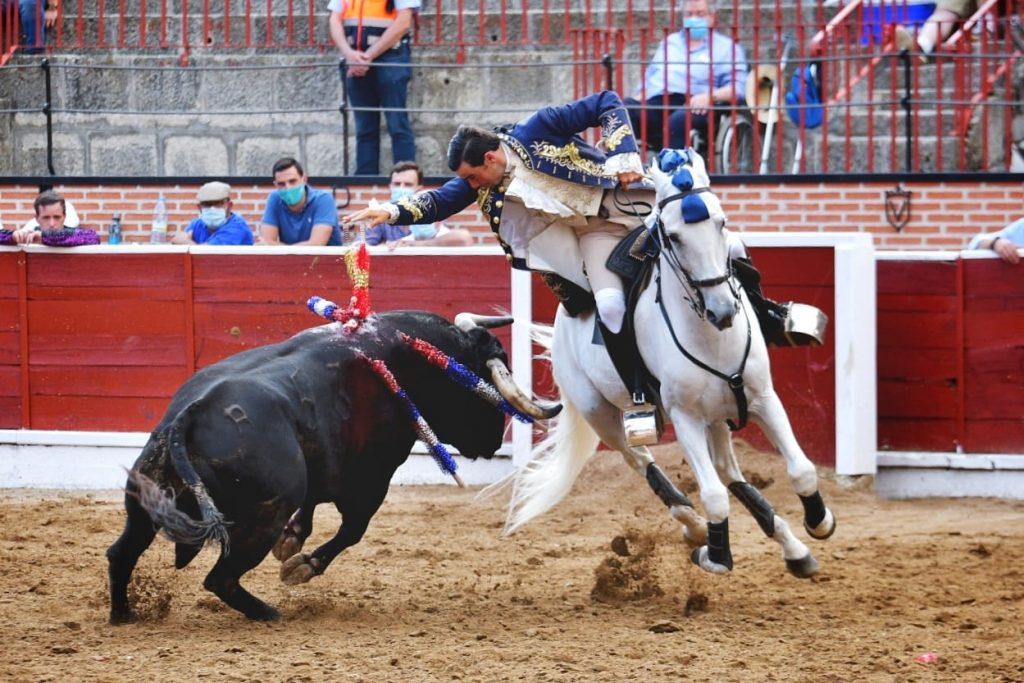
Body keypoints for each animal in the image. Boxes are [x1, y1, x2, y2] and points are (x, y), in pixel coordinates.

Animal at [105, 313, 544, 622]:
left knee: (120, 554)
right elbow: (352, 529)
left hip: (144, 501)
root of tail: (190, 415)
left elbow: (314, 503)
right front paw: (301, 564)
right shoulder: (371, 480)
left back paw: (123, 615)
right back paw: (269, 612)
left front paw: (293, 542)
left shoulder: (323, 464)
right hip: (263, 518)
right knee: (221, 578)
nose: (494, 440)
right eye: (486, 380)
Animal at [503, 148, 831, 577]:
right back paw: (695, 527)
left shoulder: (763, 399)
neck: (712, 337)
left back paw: (792, 548)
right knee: (643, 462)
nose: (723, 310)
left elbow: (802, 469)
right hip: (599, 413)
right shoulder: (685, 417)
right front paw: (714, 555)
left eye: (722, 222)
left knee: (729, 472)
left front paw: (819, 523)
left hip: (718, 413)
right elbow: (713, 497)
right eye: (672, 236)